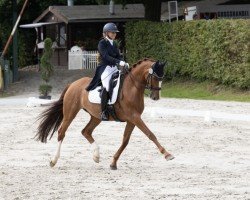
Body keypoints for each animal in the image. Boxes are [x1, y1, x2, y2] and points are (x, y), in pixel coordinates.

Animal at [35, 58, 174, 170]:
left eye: (162, 77)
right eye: (155, 77)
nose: (156, 97)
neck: (132, 88)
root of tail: (72, 84)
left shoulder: (132, 120)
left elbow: (125, 141)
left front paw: (113, 163)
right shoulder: (134, 117)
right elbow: (150, 134)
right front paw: (167, 154)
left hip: (96, 116)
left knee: (86, 131)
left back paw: (96, 156)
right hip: (70, 112)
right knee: (61, 132)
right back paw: (53, 161)